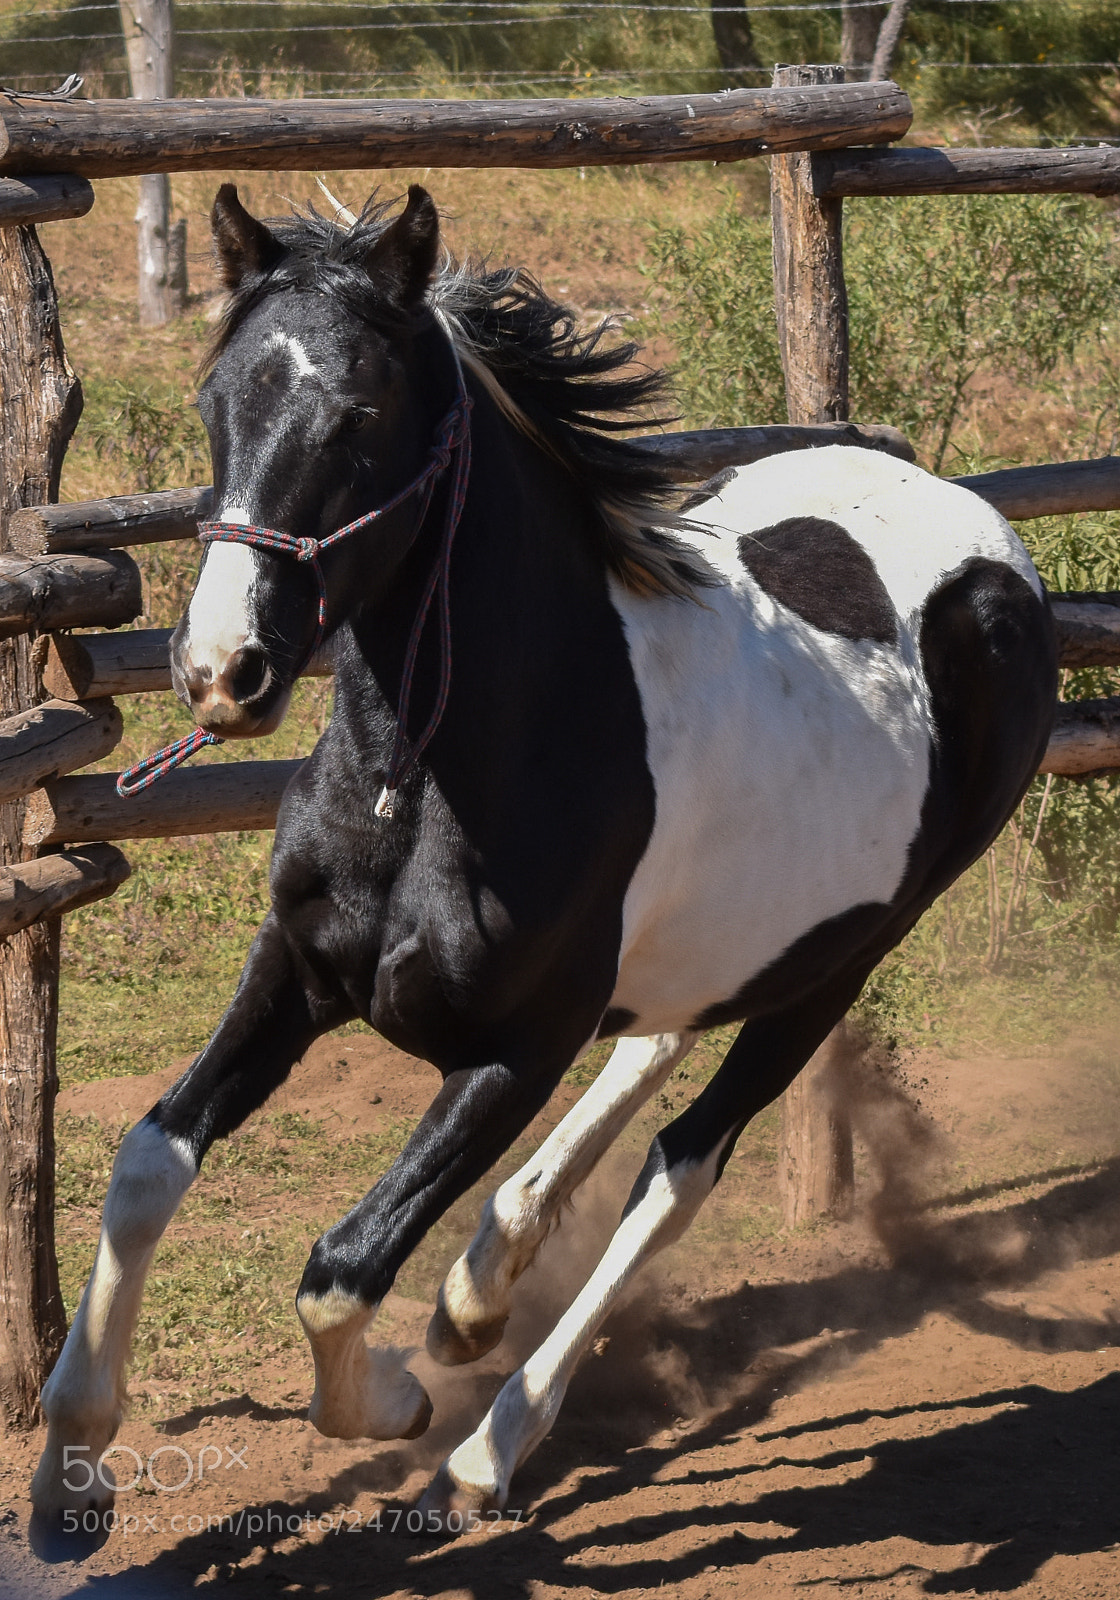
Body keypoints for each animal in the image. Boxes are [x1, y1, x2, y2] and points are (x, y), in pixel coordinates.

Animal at [31, 183, 1058, 1533]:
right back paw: (483, 1280)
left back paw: (488, 1437)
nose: (221, 671)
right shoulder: (297, 969)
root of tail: (992, 545)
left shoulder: (515, 1048)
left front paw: (397, 1404)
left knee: (676, 1170)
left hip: (844, 956)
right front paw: (73, 1461)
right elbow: (150, 1160)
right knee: (656, 1039)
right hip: (739, 930)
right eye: (216, 403)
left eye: (360, 414)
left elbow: (342, 1268)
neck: (422, 781)